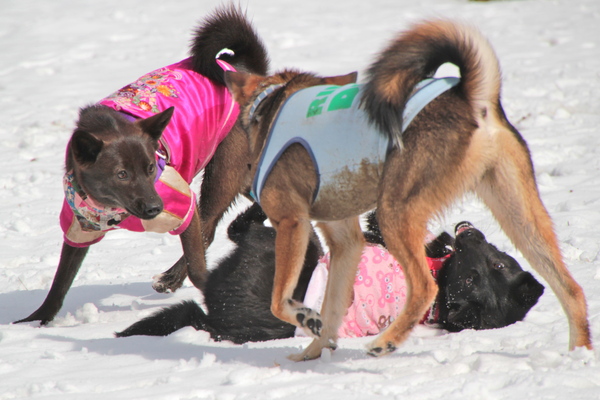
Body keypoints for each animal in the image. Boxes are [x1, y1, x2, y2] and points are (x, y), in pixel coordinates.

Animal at [223, 18, 592, 360]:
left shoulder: (291, 223)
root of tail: (473, 98)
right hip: (518, 215)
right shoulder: (346, 241)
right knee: (571, 288)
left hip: (395, 212)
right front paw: (314, 350)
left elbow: (279, 300)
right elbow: (331, 308)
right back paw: (580, 353)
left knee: (425, 287)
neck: (268, 101)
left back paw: (386, 341)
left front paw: (305, 320)